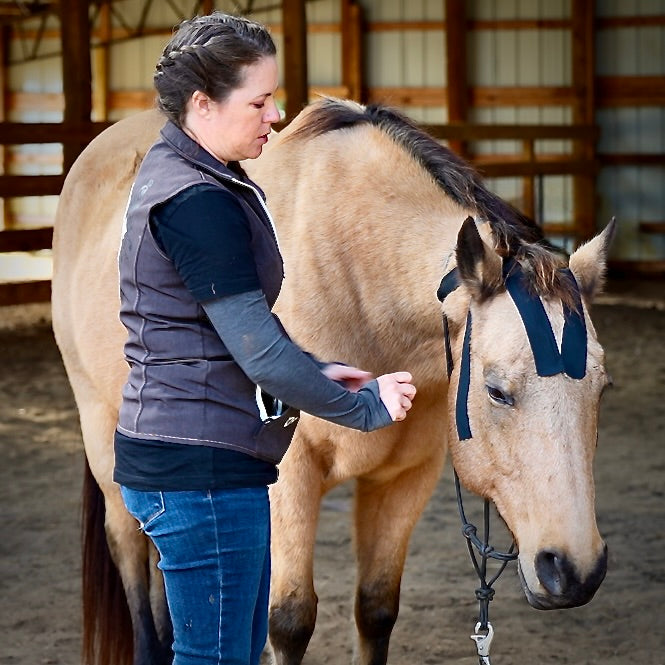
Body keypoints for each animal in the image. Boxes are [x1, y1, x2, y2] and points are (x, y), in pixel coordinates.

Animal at [51, 97, 613, 665]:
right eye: (497, 391)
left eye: (602, 389)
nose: (574, 572)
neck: (358, 276)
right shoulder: (288, 479)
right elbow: (289, 620)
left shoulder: (405, 478)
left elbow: (377, 608)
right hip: (101, 430)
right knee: (129, 548)